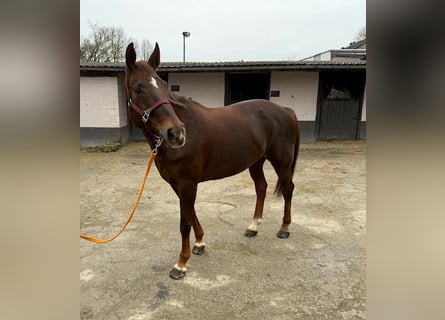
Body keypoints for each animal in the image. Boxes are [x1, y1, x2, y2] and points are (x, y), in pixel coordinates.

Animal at [123, 43, 300, 280]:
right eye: (138, 88)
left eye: (163, 85)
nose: (176, 133)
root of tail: (286, 111)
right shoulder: (177, 184)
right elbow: (192, 214)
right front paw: (199, 243)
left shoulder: (187, 184)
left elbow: (184, 222)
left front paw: (181, 264)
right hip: (256, 162)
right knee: (261, 187)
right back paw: (253, 227)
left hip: (281, 162)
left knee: (288, 189)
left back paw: (284, 229)